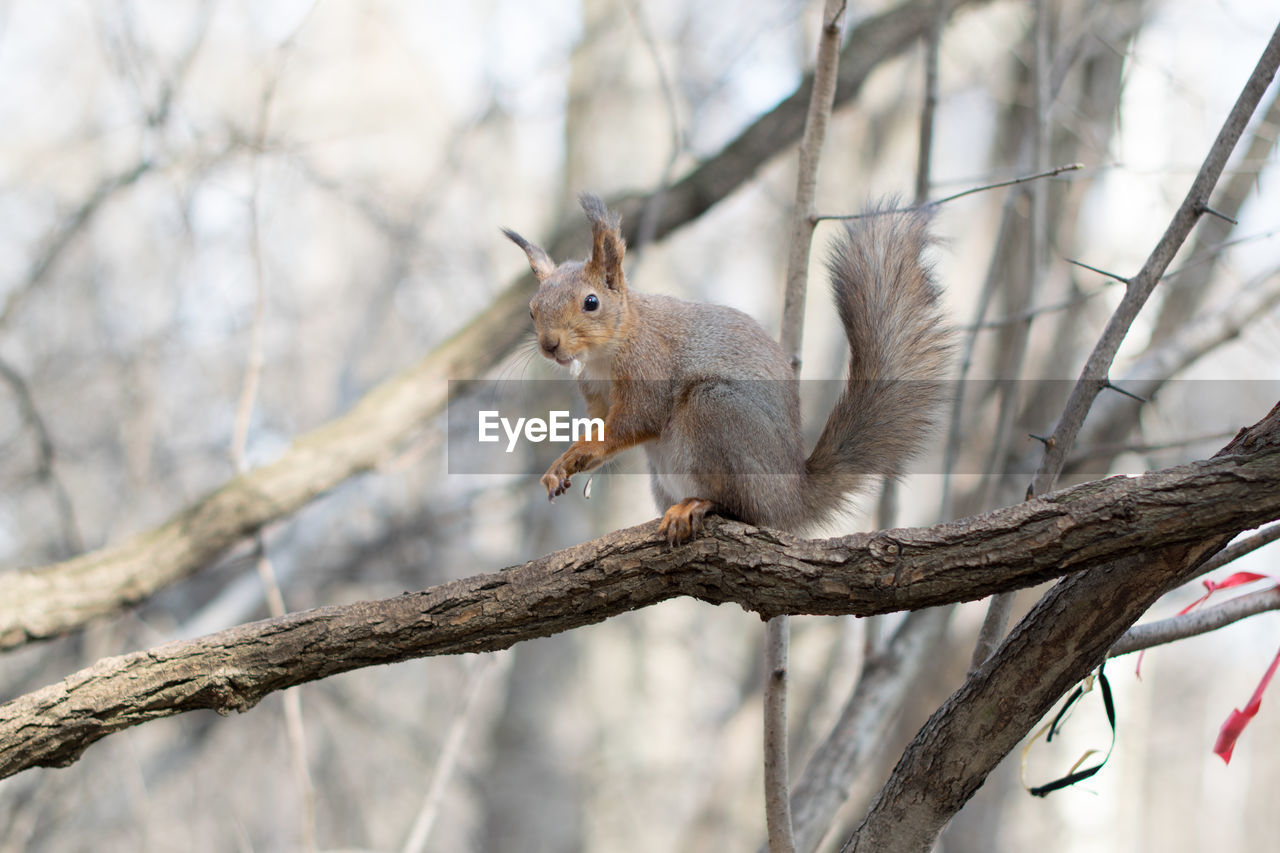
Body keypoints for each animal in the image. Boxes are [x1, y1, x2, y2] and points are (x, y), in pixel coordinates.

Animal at [499, 190, 952, 545]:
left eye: (591, 302)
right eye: (532, 309)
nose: (550, 345)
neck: (605, 354)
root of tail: (791, 497)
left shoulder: (650, 366)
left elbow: (636, 420)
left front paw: (583, 451)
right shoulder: (595, 396)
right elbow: (599, 423)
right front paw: (562, 466)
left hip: (716, 412)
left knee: (738, 506)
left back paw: (697, 504)